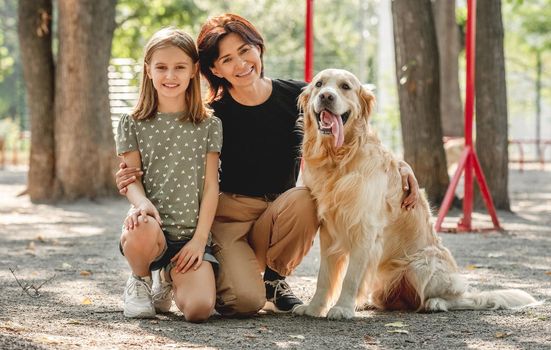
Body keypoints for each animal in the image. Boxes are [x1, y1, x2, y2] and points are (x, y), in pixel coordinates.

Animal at [296, 68, 536, 320]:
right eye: (319, 84)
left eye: (345, 86)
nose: (326, 96)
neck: (340, 158)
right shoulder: (328, 230)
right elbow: (324, 276)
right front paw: (314, 307)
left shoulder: (365, 229)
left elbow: (351, 277)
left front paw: (342, 308)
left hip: (421, 265)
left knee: (460, 298)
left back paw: (435, 303)